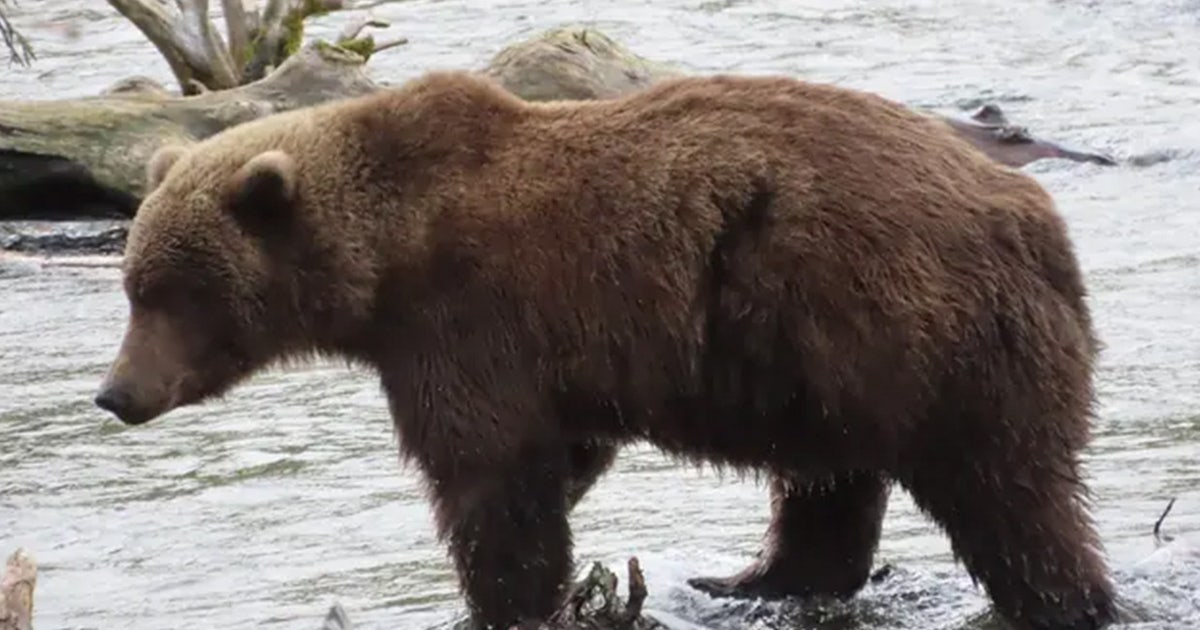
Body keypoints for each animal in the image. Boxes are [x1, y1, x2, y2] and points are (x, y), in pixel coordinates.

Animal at [93, 69, 1117, 630]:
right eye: (134, 284)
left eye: (170, 292)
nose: (116, 393)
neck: (387, 256)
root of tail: (1037, 218)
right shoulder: (541, 356)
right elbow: (560, 455)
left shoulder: (468, 322)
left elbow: (492, 477)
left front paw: (502, 600)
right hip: (828, 359)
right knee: (831, 482)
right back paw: (751, 579)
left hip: (920, 327)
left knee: (1007, 495)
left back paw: (1062, 597)